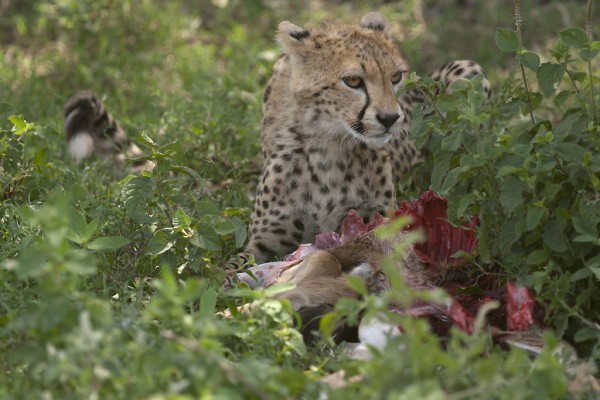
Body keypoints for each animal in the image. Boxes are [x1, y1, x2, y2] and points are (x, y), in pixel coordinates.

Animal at [241, 12, 490, 264]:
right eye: (353, 81)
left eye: (395, 77)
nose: (390, 118)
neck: (329, 147)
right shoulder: (262, 242)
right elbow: (236, 269)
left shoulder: (377, 219)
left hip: (468, 69)